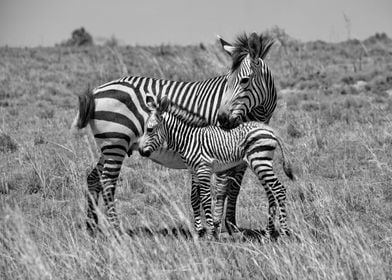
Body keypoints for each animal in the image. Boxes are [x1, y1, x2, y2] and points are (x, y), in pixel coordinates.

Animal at [72, 32, 278, 234]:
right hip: (116, 142)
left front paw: (231, 225)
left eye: (244, 80)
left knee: (93, 178)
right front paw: (216, 226)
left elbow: (234, 188)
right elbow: (217, 188)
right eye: (227, 82)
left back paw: (92, 227)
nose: (222, 120)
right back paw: (116, 228)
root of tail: (97, 90)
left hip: (109, 146)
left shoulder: (242, 152)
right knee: (107, 182)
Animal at [139, 95, 294, 238]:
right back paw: (268, 234)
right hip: (259, 164)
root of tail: (270, 130)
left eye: (150, 129)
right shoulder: (194, 171)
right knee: (271, 193)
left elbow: (206, 198)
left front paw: (212, 233)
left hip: (259, 161)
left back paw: (284, 232)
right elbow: (195, 198)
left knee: (279, 189)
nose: (140, 151)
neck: (188, 140)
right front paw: (201, 231)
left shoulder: (203, 169)